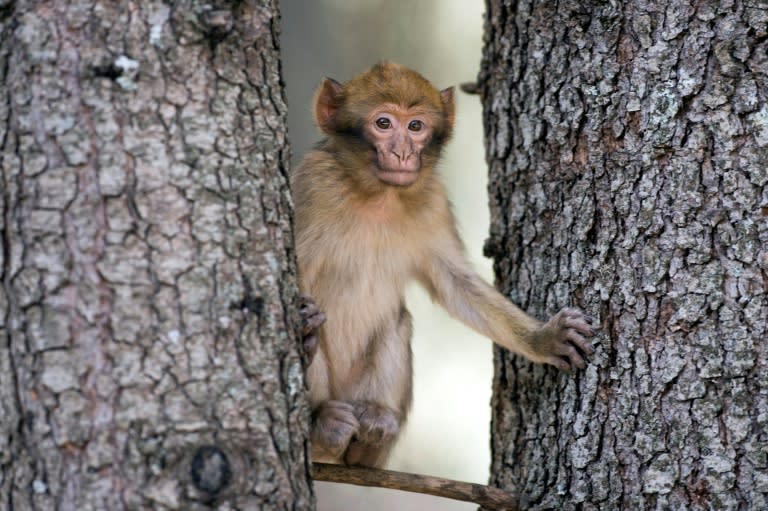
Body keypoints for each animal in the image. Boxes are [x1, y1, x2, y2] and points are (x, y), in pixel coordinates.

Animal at [292, 62, 596, 470]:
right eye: (383, 123)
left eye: (415, 126)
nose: (403, 152)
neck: (378, 196)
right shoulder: (313, 185)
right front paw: (303, 331)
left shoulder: (432, 199)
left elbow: (456, 284)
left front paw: (543, 339)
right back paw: (321, 423)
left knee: (397, 323)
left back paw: (371, 434)